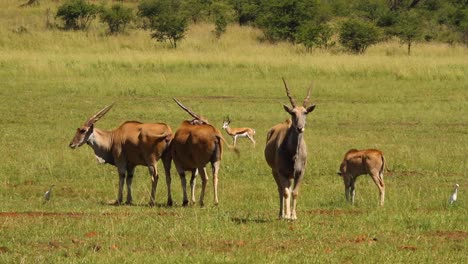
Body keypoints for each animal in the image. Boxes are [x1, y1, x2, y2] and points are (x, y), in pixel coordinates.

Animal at [266, 78, 316, 221]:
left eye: (305, 112)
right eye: (293, 113)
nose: (300, 128)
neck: (293, 154)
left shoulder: (300, 173)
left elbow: (294, 192)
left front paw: (294, 216)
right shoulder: (281, 172)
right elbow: (286, 193)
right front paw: (287, 216)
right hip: (275, 172)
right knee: (281, 190)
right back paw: (281, 214)